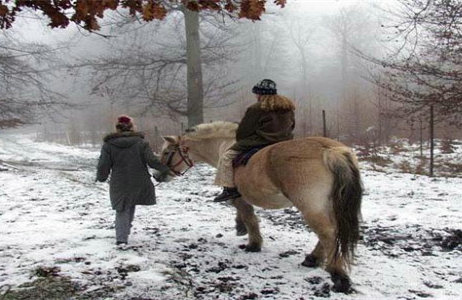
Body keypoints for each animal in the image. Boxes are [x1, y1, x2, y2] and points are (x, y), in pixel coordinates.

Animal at [161, 120, 362, 292]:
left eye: (166, 152)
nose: (157, 174)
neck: (225, 145)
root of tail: (331, 151)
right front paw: (240, 228)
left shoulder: (239, 198)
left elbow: (249, 218)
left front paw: (253, 244)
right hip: (327, 205)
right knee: (329, 232)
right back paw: (313, 259)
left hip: (311, 207)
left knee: (327, 233)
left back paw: (338, 276)